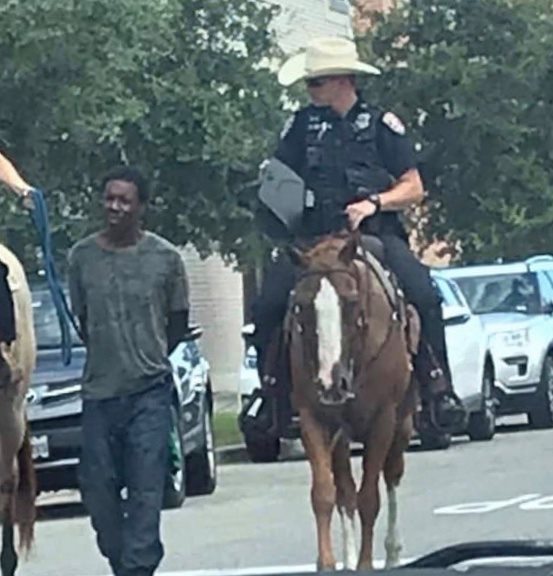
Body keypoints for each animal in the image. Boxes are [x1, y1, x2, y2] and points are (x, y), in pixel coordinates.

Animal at [284, 232, 418, 568]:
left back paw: (393, 553)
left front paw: (366, 564)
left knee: (391, 475)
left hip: (402, 424)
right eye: (301, 305)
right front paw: (328, 563)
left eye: (351, 300)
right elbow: (324, 494)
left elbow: (369, 497)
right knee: (345, 491)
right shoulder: (313, 419)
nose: (331, 382)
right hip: (341, 437)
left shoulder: (383, 419)